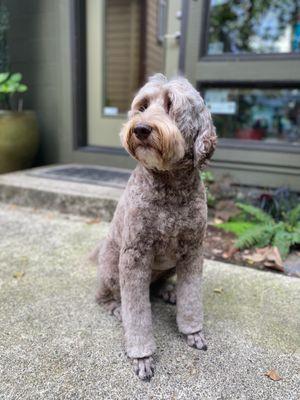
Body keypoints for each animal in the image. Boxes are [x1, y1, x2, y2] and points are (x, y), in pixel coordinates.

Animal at [95, 73, 217, 380]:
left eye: (171, 105)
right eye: (143, 106)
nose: (140, 129)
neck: (169, 184)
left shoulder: (193, 251)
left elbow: (191, 296)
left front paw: (192, 331)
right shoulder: (134, 256)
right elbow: (137, 313)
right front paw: (142, 356)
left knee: (161, 283)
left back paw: (168, 291)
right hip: (112, 267)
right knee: (103, 295)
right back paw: (116, 307)